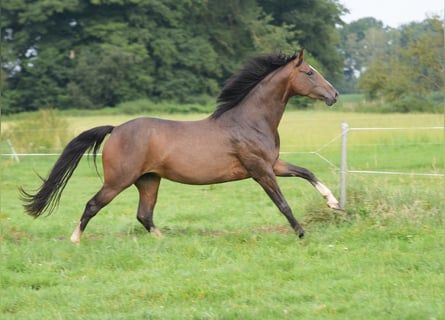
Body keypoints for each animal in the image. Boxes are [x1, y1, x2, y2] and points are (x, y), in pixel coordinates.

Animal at [20, 47, 340, 244]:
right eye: (309, 72)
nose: (335, 95)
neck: (249, 120)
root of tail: (116, 129)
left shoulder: (273, 164)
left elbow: (307, 172)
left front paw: (334, 203)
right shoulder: (260, 170)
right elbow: (282, 203)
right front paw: (301, 233)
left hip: (149, 180)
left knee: (144, 214)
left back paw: (163, 240)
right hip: (119, 180)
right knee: (93, 204)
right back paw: (75, 239)